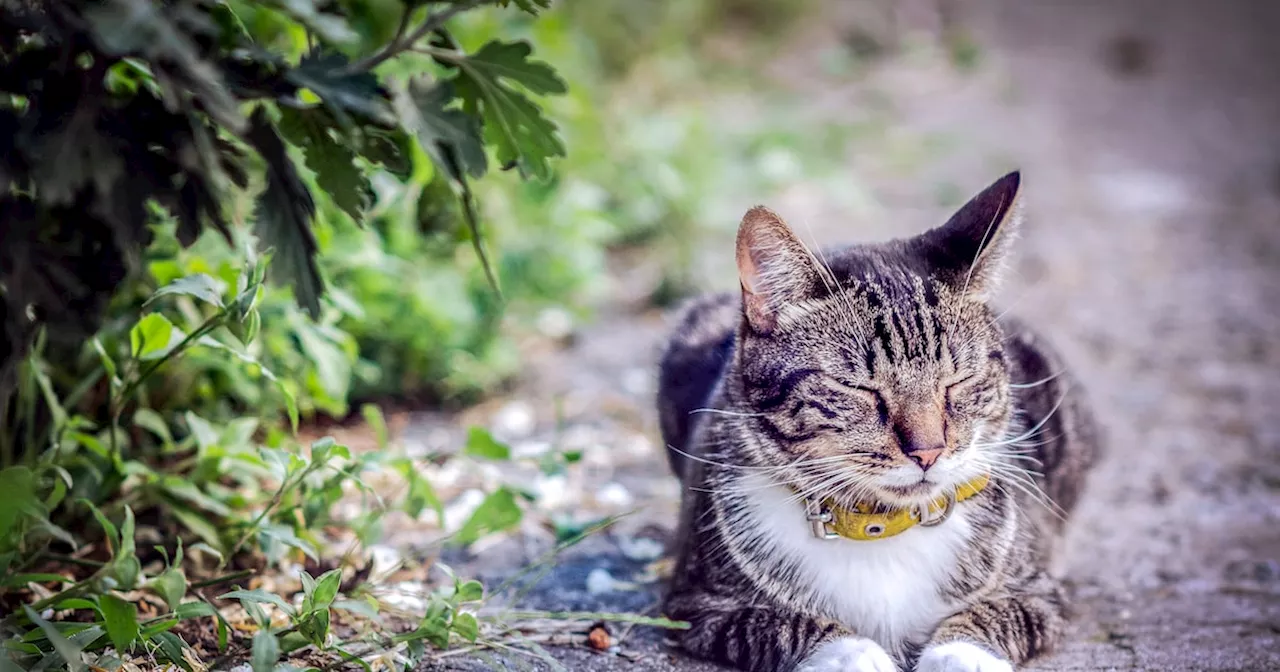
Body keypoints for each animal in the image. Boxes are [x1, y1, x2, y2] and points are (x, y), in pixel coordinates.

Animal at [660, 172, 1100, 670]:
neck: (880, 525)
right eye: (860, 389)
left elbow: (989, 616)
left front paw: (959, 656)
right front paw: (854, 653)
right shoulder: (701, 606)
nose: (928, 451)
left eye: (958, 381)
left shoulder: (1040, 595)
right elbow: (785, 625)